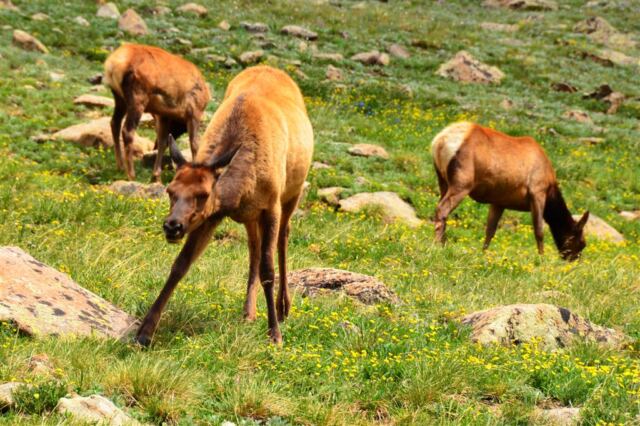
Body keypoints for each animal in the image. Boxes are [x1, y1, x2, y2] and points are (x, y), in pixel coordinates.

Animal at [103, 43, 210, 182]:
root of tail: (113, 64)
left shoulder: (163, 115)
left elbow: (162, 142)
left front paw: (156, 176)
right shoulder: (194, 112)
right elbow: (195, 144)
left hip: (119, 98)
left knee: (114, 123)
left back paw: (120, 167)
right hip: (138, 97)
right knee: (127, 130)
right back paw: (131, 174)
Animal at [135, 65, 314, 346]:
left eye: (204, 193)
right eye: (170, 190)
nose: (172, 226)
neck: (241, 190)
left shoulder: (271, 204)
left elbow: (268, 269)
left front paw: (274, 334)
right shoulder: (211, 216)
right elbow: (180, 265)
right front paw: (145, 331)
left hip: (292, 193)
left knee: (283, 238)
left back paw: (283, 307)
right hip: (251, 216)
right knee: (253, 247)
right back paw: (249, 312)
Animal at [431, 122, 589, 261]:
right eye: (582, 243)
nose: (574, 260)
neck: (551, 190)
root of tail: (439, 141)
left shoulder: (499, 202)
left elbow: (490, 230)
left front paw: (483, 253)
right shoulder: (537, 192)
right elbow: (539, 230)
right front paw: (541, 259)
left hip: (443, 180)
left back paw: (443, 243)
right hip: (462, 182)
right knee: (442, 209)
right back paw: (437, 245)